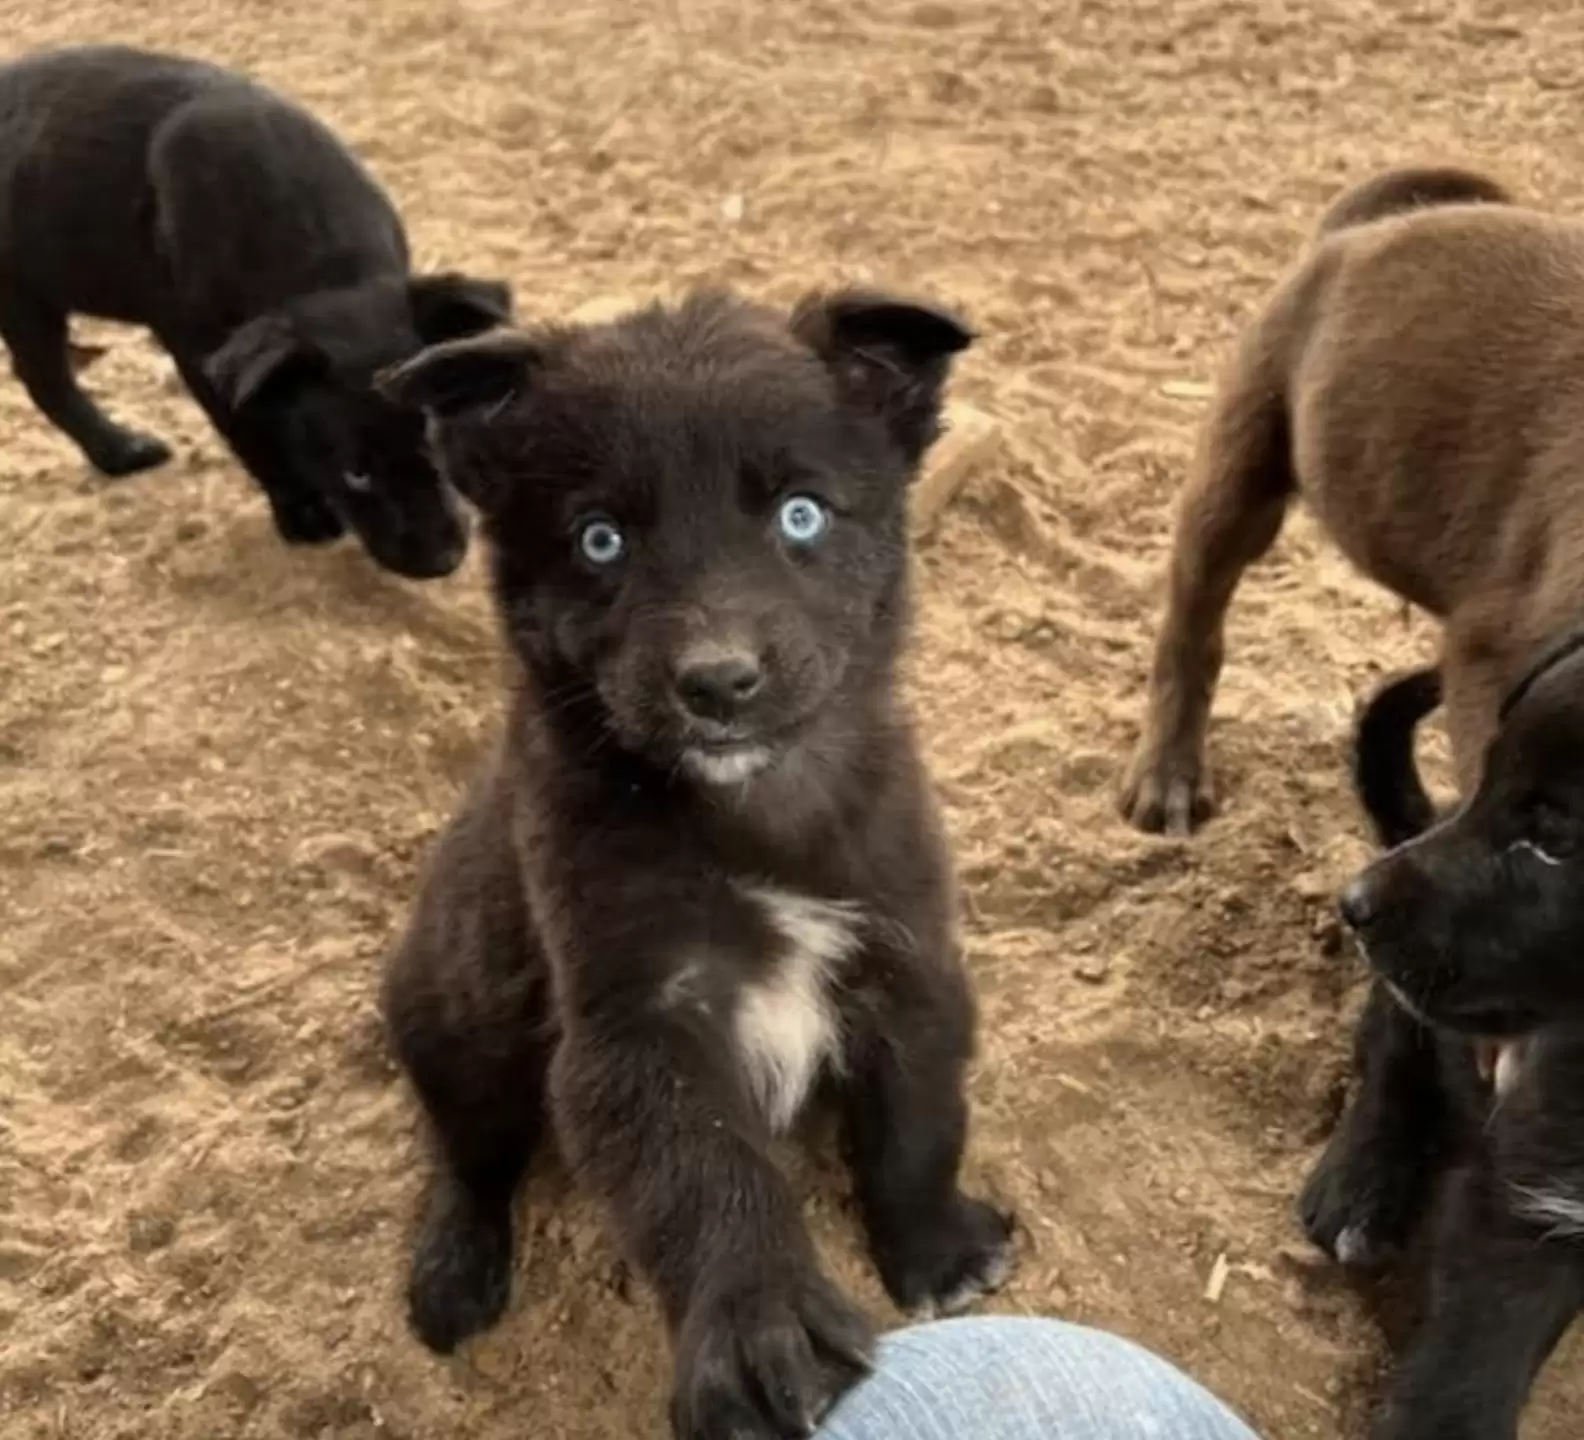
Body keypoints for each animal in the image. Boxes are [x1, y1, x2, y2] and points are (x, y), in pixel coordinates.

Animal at [0, 50, 513, 579]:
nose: (439, 560)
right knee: (48, 383)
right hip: (23, 294)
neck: (330, 273)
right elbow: (252, 434)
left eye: (436, 445)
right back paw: (121, 451)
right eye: (356, 473)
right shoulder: (199, 350)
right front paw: (303, 515)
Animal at [375, 286, 1013, 1432]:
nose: (717, 683)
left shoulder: (905, 954)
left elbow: (917, 1117)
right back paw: (453, 1268)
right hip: (460, 1010)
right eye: (599, 541)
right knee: (466, 1148)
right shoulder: (638, 1023)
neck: (750, 808)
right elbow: (705, 1170)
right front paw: (763, 1325)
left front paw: (938, 1251)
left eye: (801, 515)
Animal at [1298, 662, 1584, 1438]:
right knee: (1391, 1051)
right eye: (1490, 776)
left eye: (1556, 835)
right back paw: (1358, 1189)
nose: (1354, 903)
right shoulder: (1523, 1201)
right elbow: (1462, 1386)